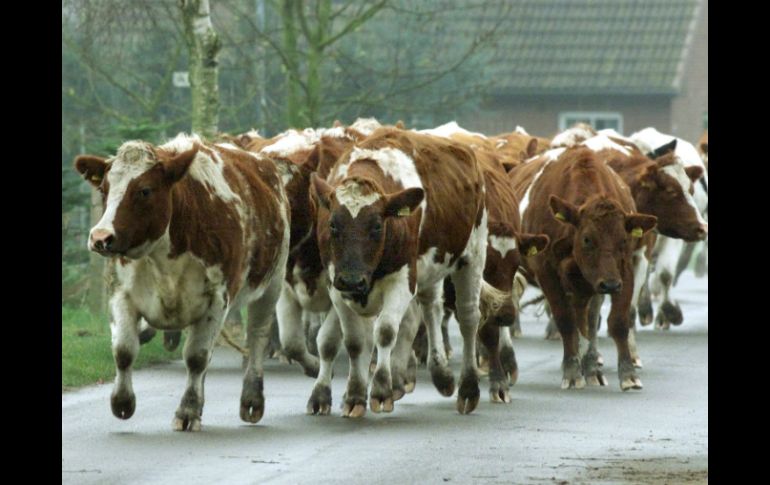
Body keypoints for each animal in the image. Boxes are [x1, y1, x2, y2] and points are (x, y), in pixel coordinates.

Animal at [73, 133, 290, 432]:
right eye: (105, 189)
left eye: (145, 190)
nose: (100, 237)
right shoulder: (120, 294)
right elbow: (124, 350)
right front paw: (122, 402)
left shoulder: (217, 300)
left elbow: (197, 357)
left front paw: (187, 411)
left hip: (272, 284)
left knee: (257, 337)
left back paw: (252, 400)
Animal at [306, 126, 486, 414]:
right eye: (332, 224)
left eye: (377, 226)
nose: (353, 281)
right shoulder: (337, 283)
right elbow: (354, 340)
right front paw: (353, 396)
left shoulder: (402, 279)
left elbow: (386, 330)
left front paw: (381, 389)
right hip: (428, 270)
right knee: (430, 310)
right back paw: (438, 373)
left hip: (472, 255)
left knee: (468, 317)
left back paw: (468, 388)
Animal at [508, 144, 656, 390]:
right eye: (587, 239)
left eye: (623, 240)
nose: (610, 284)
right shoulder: (546, 272)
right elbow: (565, 320)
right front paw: (571, 372)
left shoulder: (624, 270)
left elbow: (617, 321)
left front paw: (627, 374)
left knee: (589, 318)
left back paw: (591, 365)